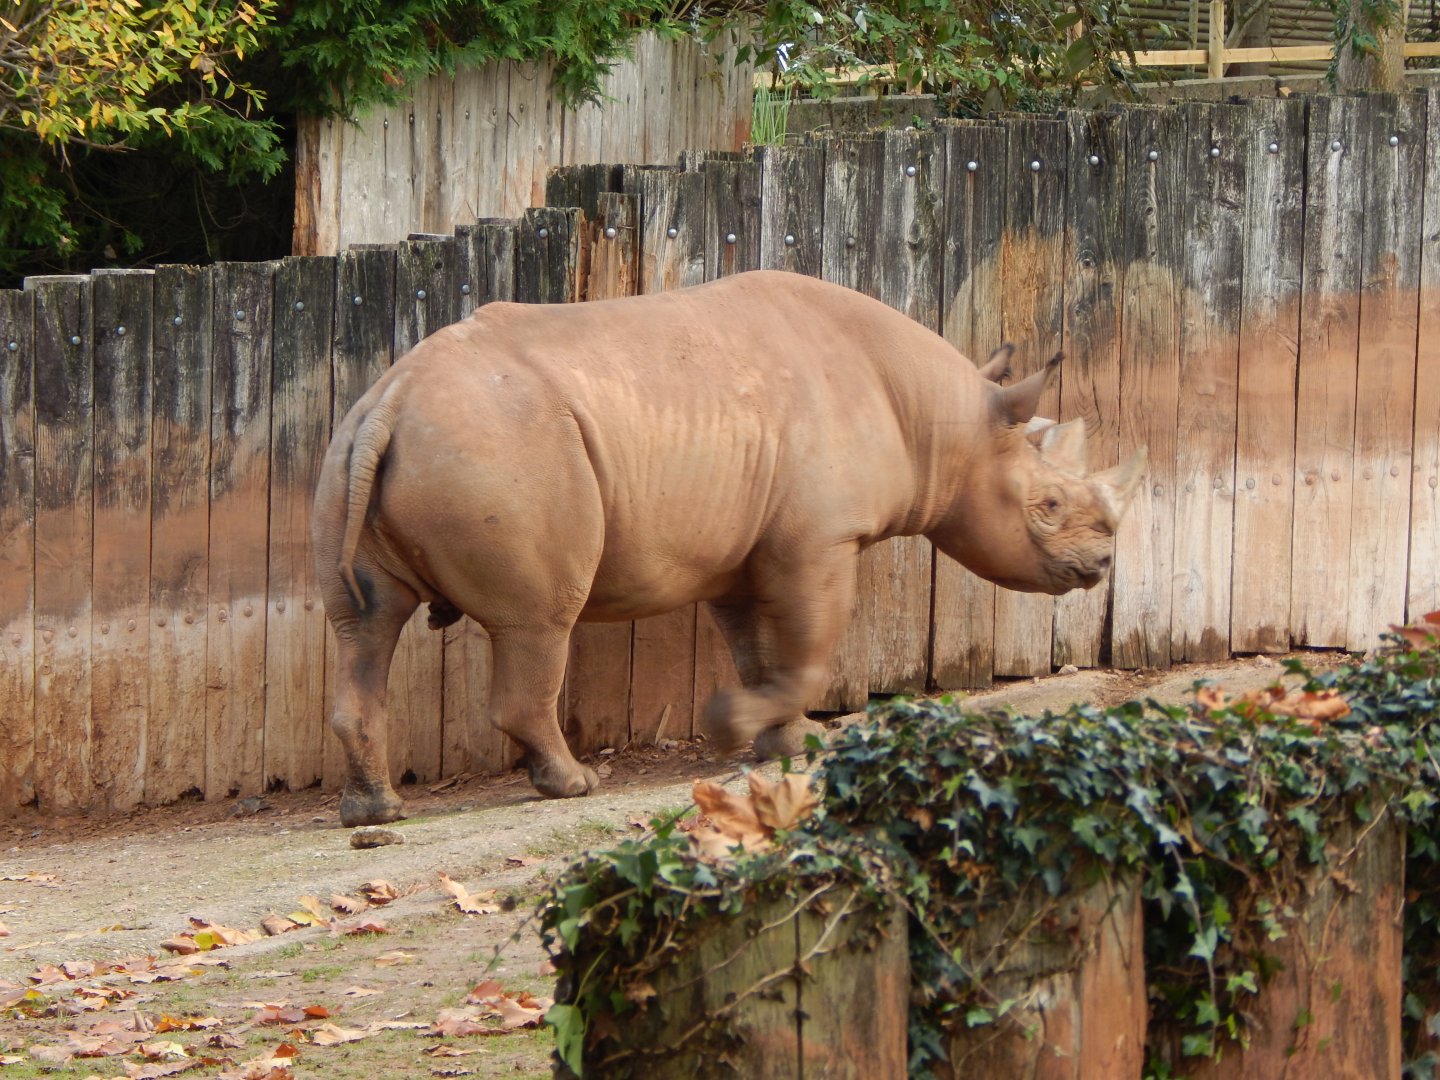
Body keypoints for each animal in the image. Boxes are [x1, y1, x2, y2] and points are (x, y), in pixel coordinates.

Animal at [313, 270, 1146, 826]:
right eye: (1047, 507)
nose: (1103, 567)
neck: (947, 423)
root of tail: (393, 395)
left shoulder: (744, 551)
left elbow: (757, 648)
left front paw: (781, 738)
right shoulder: (821, 539)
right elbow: (809, 649)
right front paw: (737, 726)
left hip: (356, 449)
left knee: (366, 627)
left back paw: (374, 812)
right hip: (500, 449)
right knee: (538, 624)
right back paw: (572, 785)